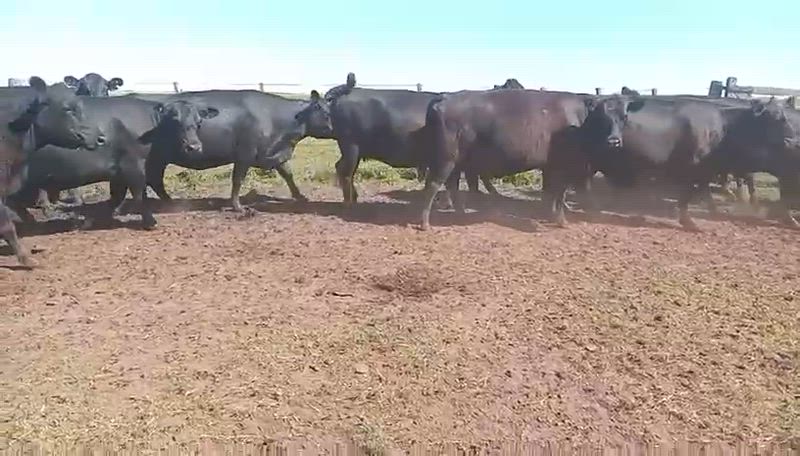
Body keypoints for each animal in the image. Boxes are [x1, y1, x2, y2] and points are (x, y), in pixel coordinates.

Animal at [8, 97, 221, 230]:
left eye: (199, 121)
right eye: (175, 119)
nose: (194, 146)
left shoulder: (118, 170)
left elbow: (116, 196)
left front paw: (94, 220)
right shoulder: (132, 164)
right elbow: (139, 192)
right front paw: (149, 221)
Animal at [138, 89, 333, 212]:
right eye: (326, 113)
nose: (333, 128)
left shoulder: (275, 154)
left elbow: (288, 175)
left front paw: (301, 197)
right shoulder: (244, 155)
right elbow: (237, 181)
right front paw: (238, 207)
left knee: (154, 179)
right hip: (155, 158)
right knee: (153, 179)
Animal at [418, 89, 646, 230]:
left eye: (624, 117)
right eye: (602, 117)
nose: (614, 141)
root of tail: (445, 97)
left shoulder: (550, 166)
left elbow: (550, 192)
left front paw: (549, 214)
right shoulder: (562, 165)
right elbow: (559, 193)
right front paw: (561, 220)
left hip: (457, 161)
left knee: (452, 185)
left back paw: (461, 214)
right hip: (446, 158)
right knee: (433, 184)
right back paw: (425, 223)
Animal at [594, 96, 800, 230]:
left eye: (784, 117)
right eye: (776, 119)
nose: (792, 139)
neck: (723, 128)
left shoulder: (705, 170)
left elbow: (703, 191)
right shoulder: (692, 167)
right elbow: (688, 194)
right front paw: (689, 221)